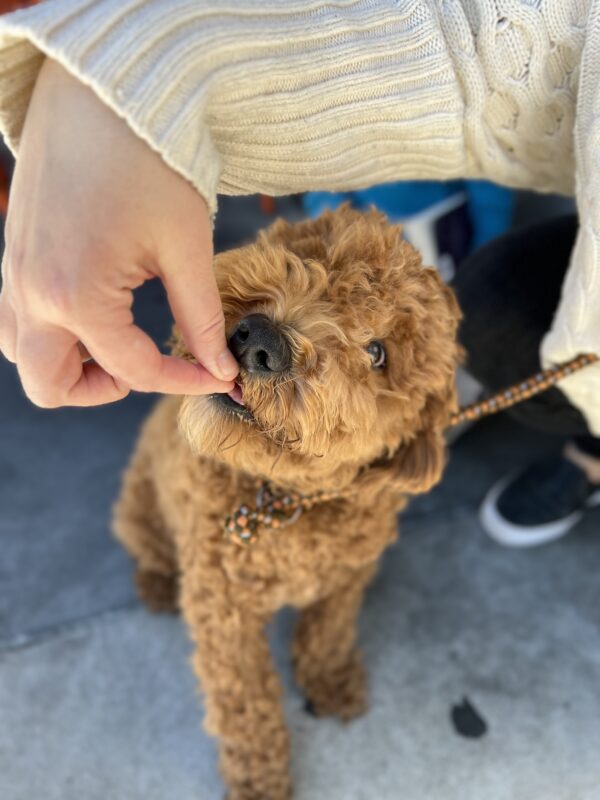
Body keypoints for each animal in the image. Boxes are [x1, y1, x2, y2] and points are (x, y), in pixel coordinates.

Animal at [113, 206, 460, 800]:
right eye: (313, 252)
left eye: (378, 354)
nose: (261, 339)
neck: (284, 500)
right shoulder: (221, 610)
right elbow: (246, 704)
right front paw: (259, 779)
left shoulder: (346, 576)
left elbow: (329, 630)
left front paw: (329, 679)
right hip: (139, 504)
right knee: (148, 547)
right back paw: (158, 582)